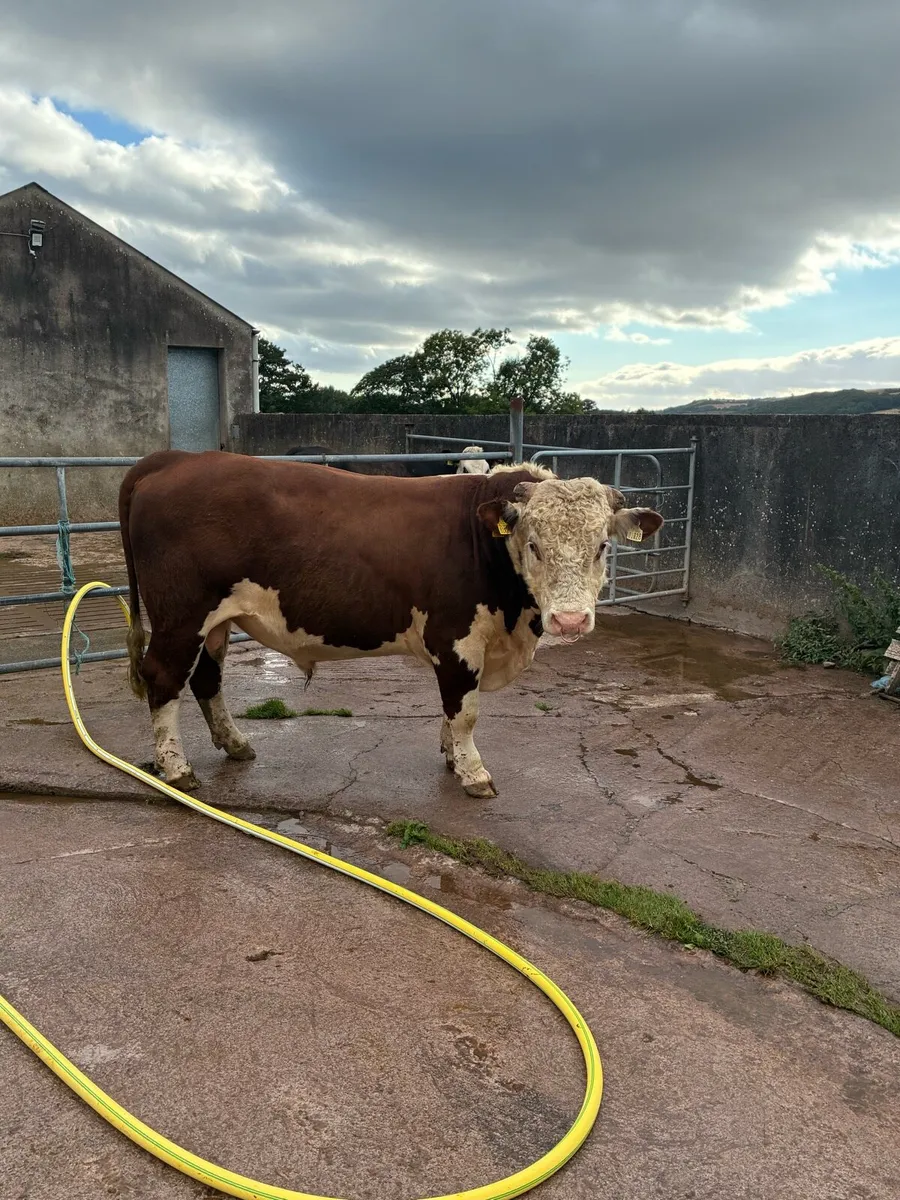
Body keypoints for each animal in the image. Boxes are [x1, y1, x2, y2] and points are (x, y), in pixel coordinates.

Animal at [119, 452, 663, 798]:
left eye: (602, 546)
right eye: (534, 545)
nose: (570, 619)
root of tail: (175, 458)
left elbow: (453, 710)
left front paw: (452, 757)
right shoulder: (455, 638)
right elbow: (465, 710)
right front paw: (473, 773)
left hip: (215, 623)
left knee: (206, 679)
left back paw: (235, 745)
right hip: (180, 616)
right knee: (164, 679)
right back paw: (176, 768)